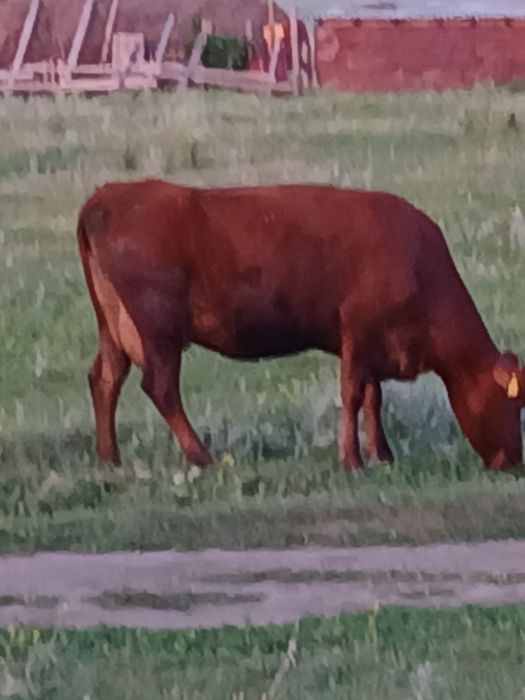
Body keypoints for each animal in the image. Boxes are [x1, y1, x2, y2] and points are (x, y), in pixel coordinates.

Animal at [77, 179, 525, 471]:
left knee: (106, 379)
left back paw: (110, 459)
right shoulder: (358, 333)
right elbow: (354, 395)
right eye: (512, 402)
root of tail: (109, 194)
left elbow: (373, 397)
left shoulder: (371, 345)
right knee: (161, 388)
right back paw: (201, 457)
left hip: (114, 327)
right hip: (159, 331)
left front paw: (382, 454)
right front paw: (352, 460)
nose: (514, 461)